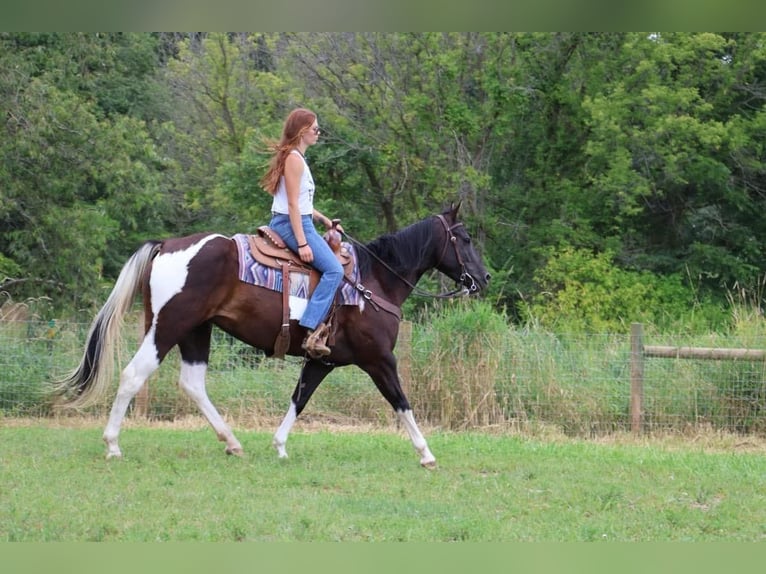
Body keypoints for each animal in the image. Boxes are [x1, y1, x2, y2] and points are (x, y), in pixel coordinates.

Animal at [54, 203, 490, 467]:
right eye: (466, 239)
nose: (483, 278)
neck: (373, 282)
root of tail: (167, 245)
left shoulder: (322, 360)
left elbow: (300, 398)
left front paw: (279, 445)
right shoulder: (379, 359)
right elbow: (401, 402)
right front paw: (426, 453)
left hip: (196, 331)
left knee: (192, 383)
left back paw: (232, 441)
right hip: (168, 327)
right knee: (133, 375)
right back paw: (112, 444)